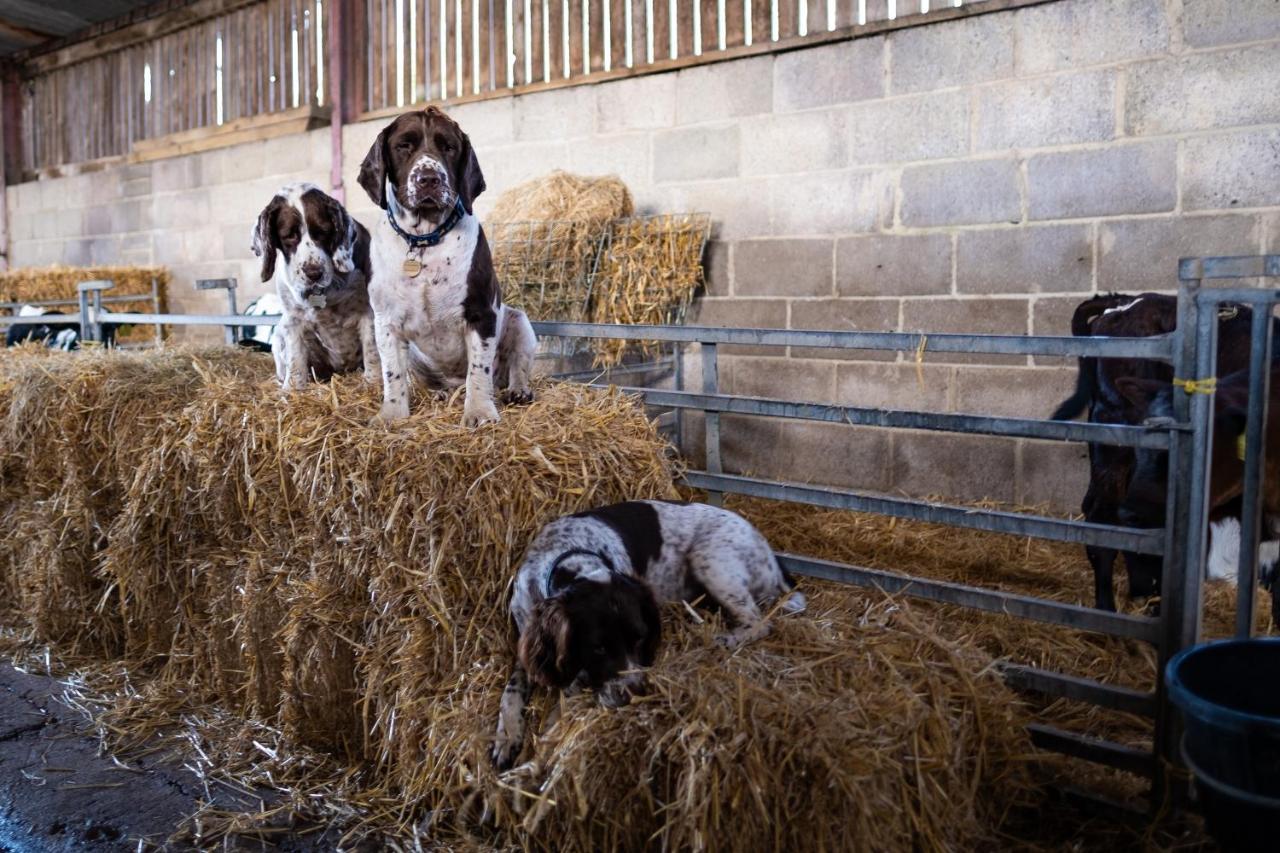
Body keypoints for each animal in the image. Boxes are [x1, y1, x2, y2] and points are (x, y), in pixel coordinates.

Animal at [249, 184, 378, 389]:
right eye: (289, 236)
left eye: (324, 232)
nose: (314, 273)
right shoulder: (293, 319)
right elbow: (296, 359)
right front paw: (293, 389)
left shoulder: (369, 312)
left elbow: (372, 349)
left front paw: (374, 383)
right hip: (279, 335)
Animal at [355, 106, 535, 425]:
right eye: (404, 145)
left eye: (449, 147)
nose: (429, 178)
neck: (423, 242)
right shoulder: (386, 322)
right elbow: (393, 374)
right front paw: (392, 414)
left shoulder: (481, 314)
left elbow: (479, 372)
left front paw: (480, 411)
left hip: (520, 322)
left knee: (517, 365)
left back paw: (518, 389)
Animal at [486, 499, 798, 768]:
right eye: (598, 648)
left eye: (639, 637)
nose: (636, 692)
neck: (569, 554)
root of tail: (771, 557)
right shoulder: (528, 642)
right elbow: (511, 692)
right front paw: (507, 736)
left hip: (710, 558)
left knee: (759, 622)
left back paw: (725, 639)